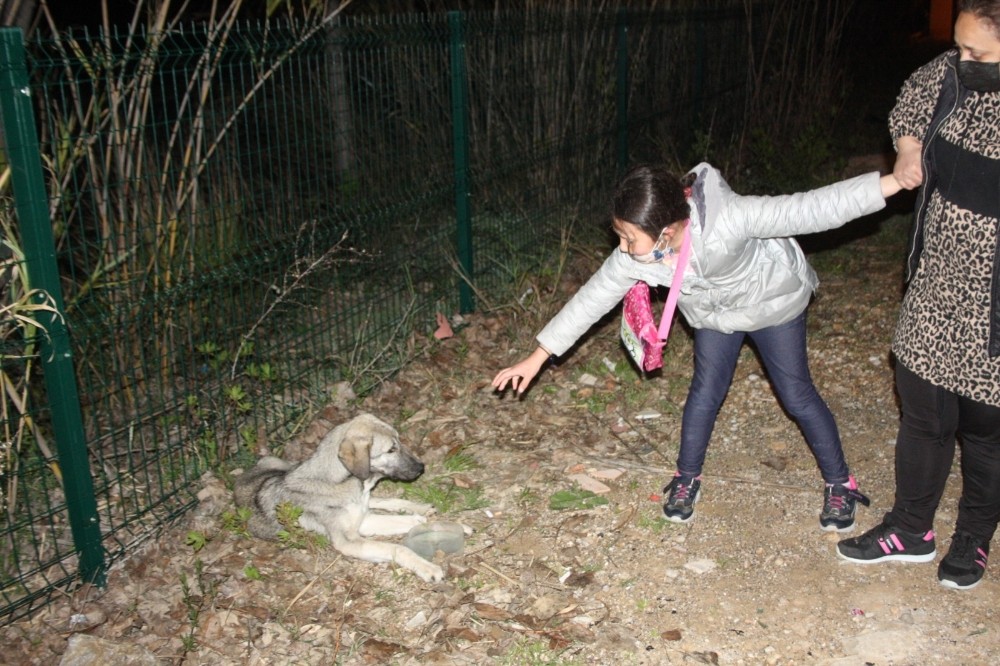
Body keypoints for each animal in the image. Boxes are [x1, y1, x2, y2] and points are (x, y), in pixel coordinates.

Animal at [234, 412, 446, 580]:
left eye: (399, 442)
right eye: (391, 449)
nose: (421, 468)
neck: (339, 482)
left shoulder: (362, 519)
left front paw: (421, 519)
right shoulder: (348, 541)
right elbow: (397, 548)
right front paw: (428, 568)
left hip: (281, 463)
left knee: (382, 500)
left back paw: (419, 508)